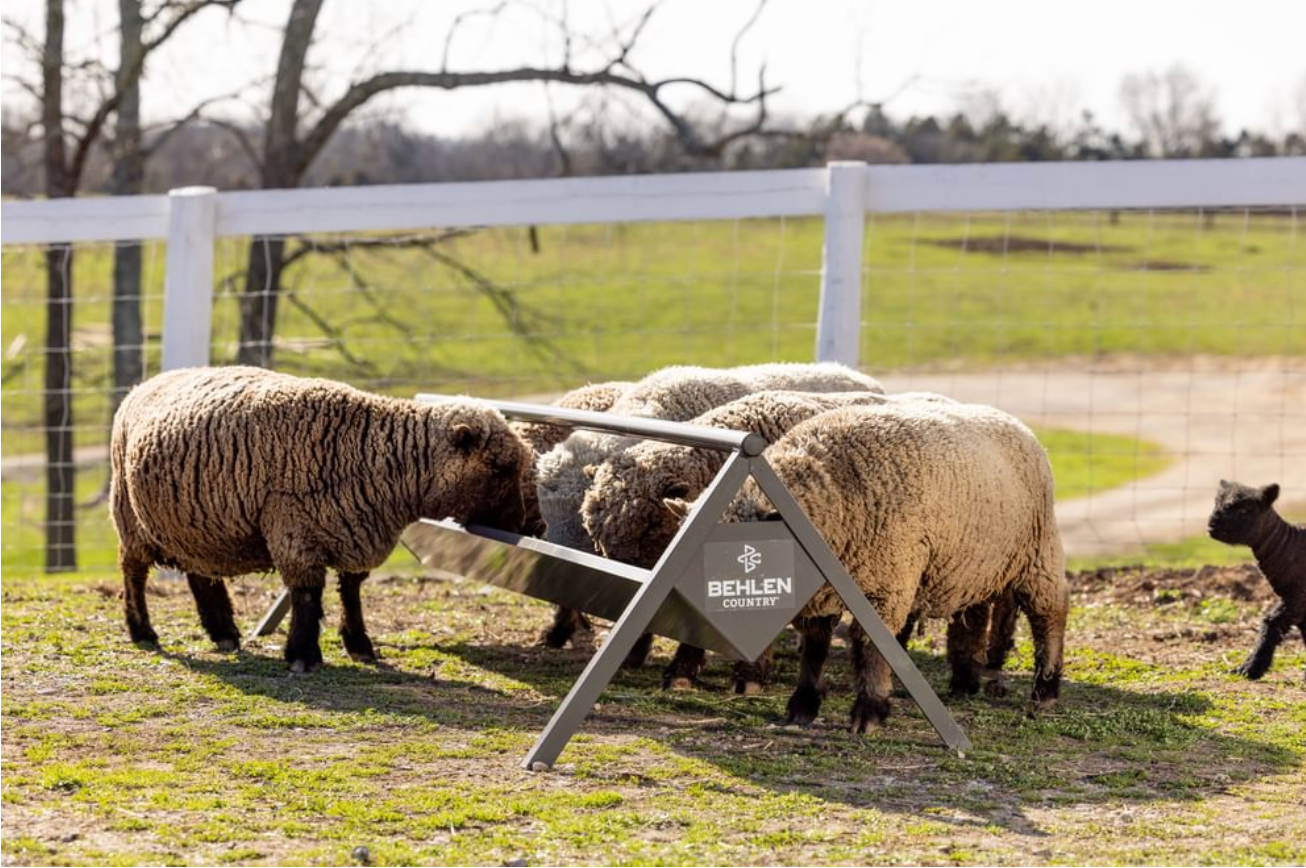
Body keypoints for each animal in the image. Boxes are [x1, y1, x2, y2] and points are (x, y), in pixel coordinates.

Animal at [111, 365, 533, 672]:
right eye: (499, 467)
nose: (519, 526)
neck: (376, 455)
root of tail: (148, 382)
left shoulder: (354, 529)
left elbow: (352, 592)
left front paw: (359, 645)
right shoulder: (296, 531)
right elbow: (307, 595)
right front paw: (303, 655)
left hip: (198, 523)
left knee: (201, 574)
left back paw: (223, 632)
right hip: (130, 516)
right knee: (133, 573)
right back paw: (143, 632)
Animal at [691, 401, 1068, 732]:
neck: (836, 497)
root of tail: (1015, 422)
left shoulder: (887, 585)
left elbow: (871, 647)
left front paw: (869, 712)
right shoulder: (824, 590)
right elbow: (815, 646)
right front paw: (803, 705)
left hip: (1037, 553)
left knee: (1050, 614)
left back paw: (1046, 690)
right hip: (971, 562)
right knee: (972, 617)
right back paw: (964, 684)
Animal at [1207, 480, 1306, 680]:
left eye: (1244, 510)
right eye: (1216, 503)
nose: (1212, 525)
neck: (1289, 547)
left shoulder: (1297, 598)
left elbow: (1270, 623)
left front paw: (1250, 669)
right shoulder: (1299, 605)